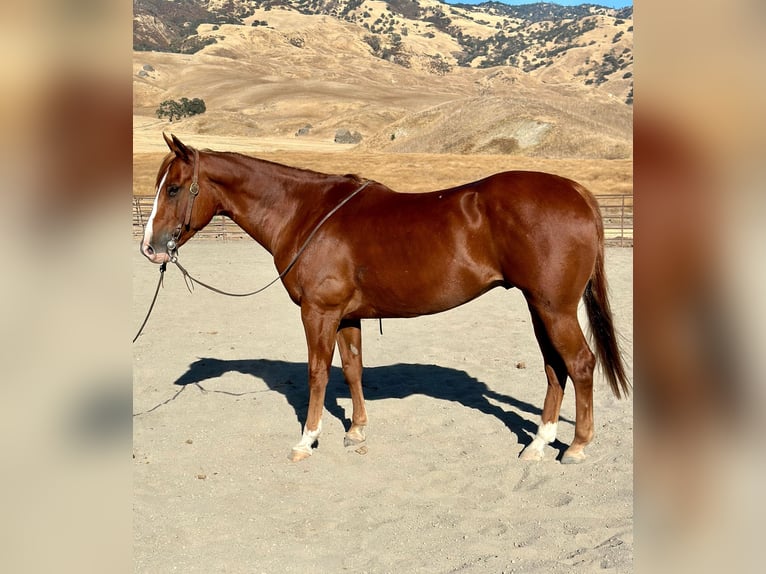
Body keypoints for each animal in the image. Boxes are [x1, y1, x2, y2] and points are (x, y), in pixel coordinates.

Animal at [140, 136, 632, 468]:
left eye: (174, 188)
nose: (150, 248)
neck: (305, 212)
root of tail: (577, 193)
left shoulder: (318, 313)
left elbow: (317, 373)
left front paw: (307, 440)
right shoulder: (346, 316)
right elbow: (352, 368)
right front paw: (356, 430)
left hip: (554, 308)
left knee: (580, 364)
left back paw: (576, 446)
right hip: (538, 306)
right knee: (554, 367)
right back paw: (539, 442)